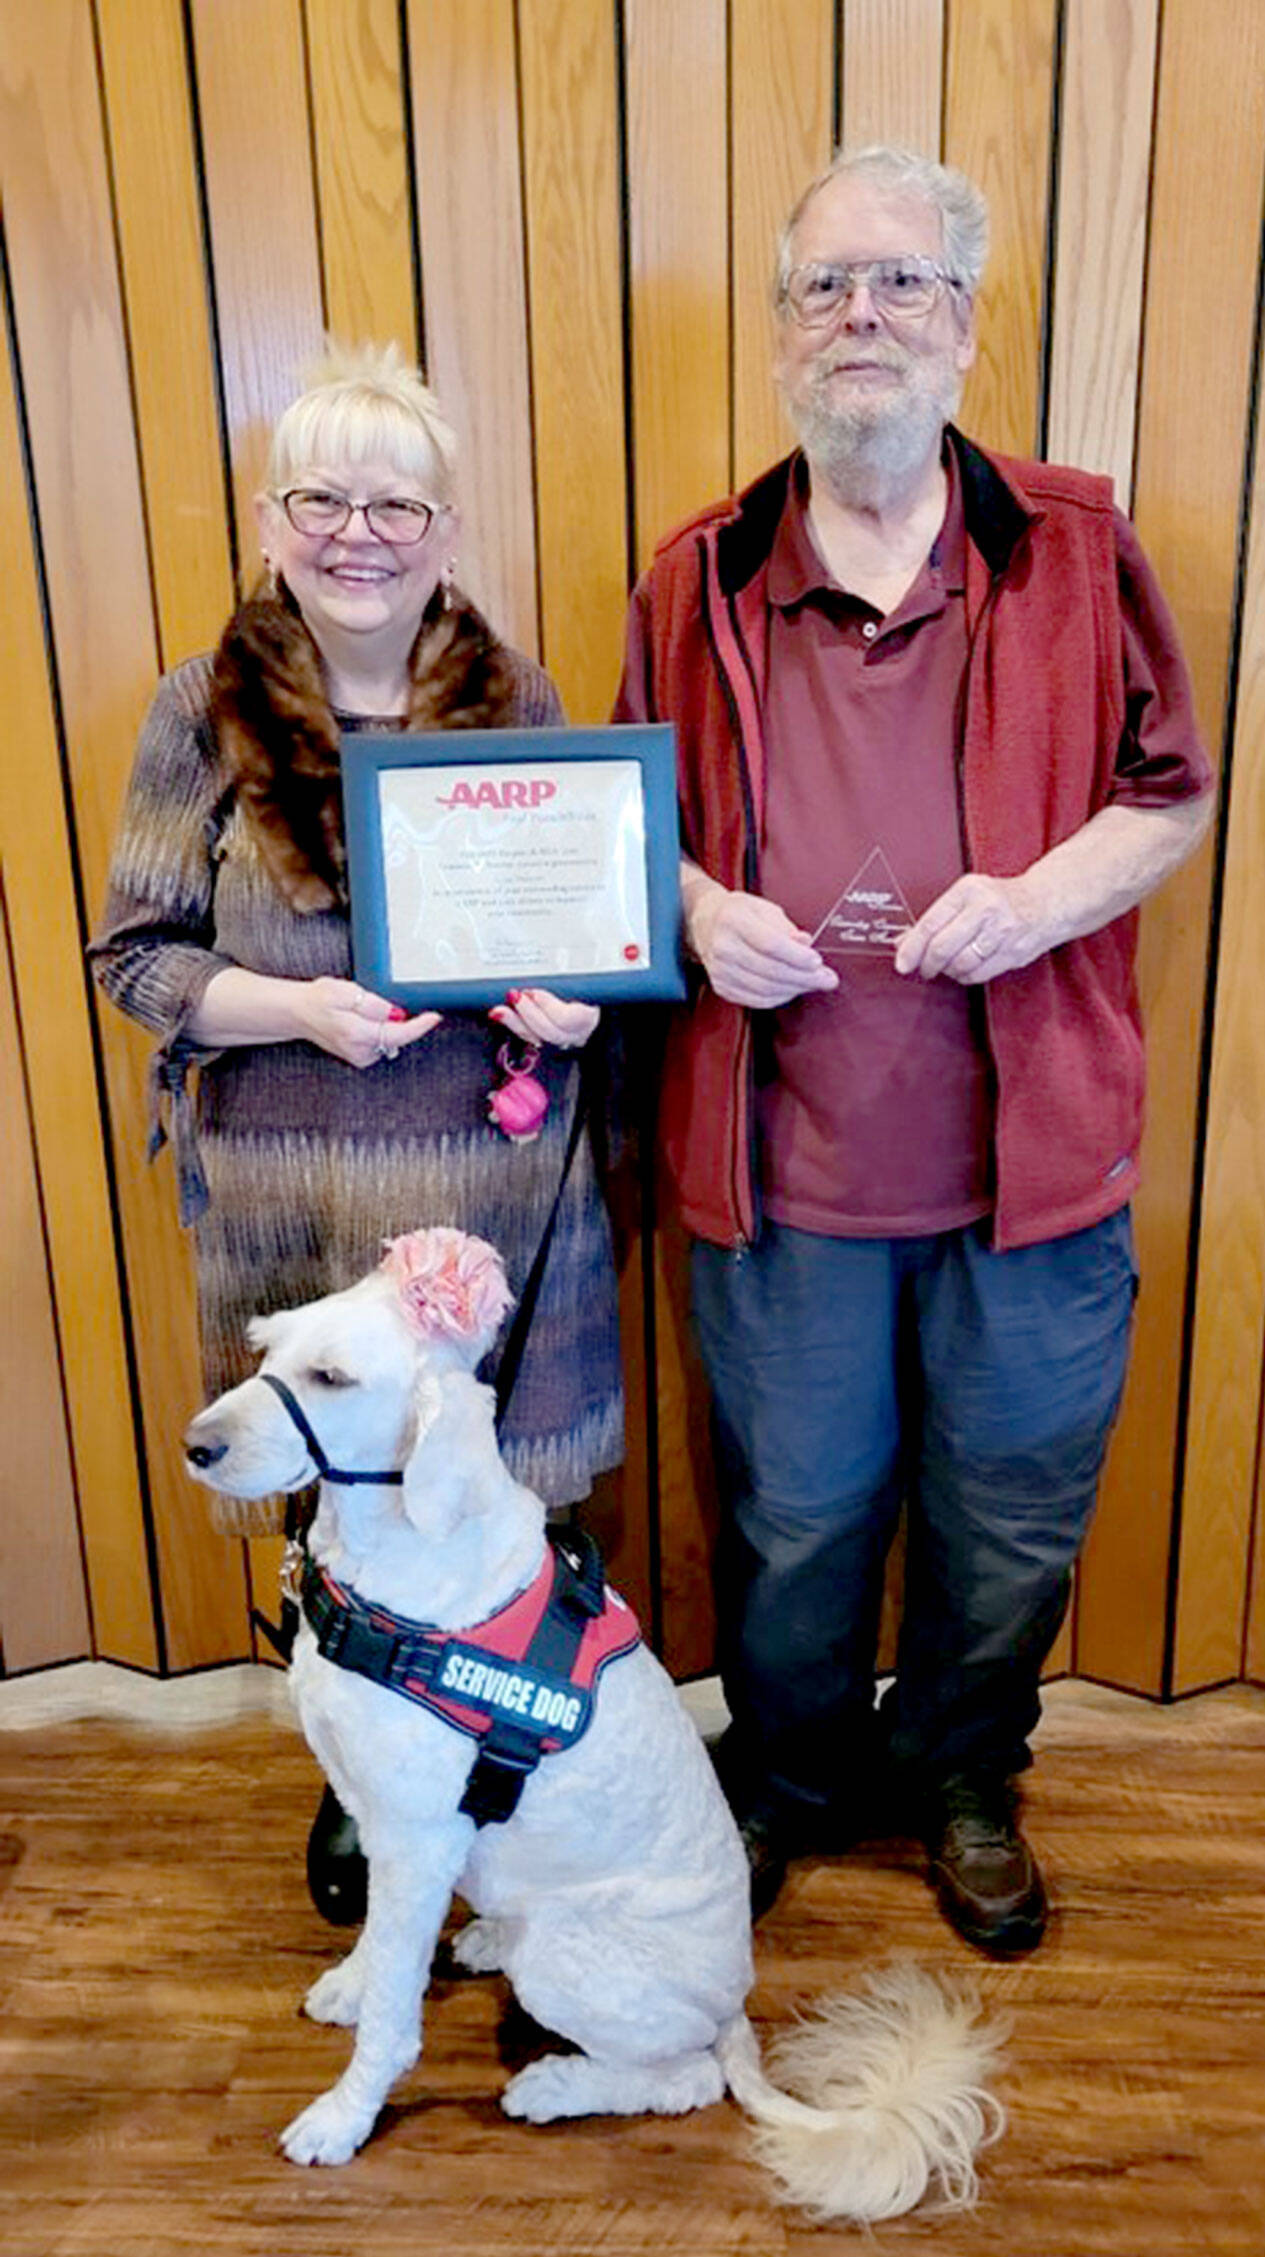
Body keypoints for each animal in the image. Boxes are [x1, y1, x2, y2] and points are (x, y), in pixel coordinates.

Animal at [185, 1227, 998, 2211]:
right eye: (267, 1354)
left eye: (332, 1377)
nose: (195, 1446)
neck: (395, 1552)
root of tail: (733, 2003)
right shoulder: (378, 1818)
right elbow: (379, 1945)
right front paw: (352, 1981)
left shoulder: (417, 1837)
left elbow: (392, 2011)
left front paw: (345, 2114)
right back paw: (486, 1937)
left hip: (572, 1957)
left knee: (686, 2078)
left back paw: (557, 2084)